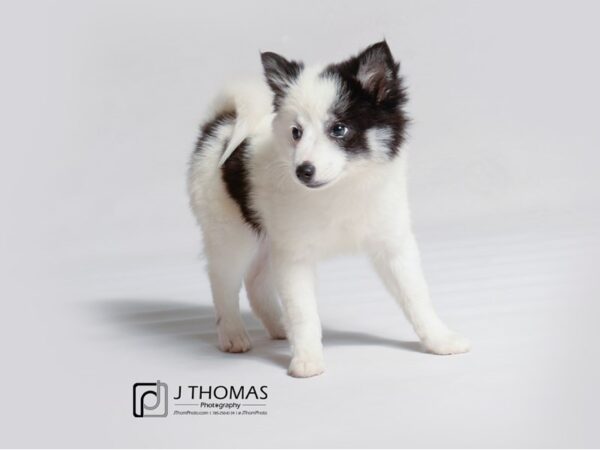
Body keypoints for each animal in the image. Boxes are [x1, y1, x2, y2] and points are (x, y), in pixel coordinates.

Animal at [188, 42, 468, 378]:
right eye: (296, 132)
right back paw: (232, 334)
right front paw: (307, 360)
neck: (342, 188)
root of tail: (222, 123)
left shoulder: (393, 244)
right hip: (229, 233)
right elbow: (303, 312)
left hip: (267, 236)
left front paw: (440, 339)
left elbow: (416, 296)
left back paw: (279, 327)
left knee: (255, 281)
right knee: (223, 282)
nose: (302, 170)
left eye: (339, 129)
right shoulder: (294, 256)